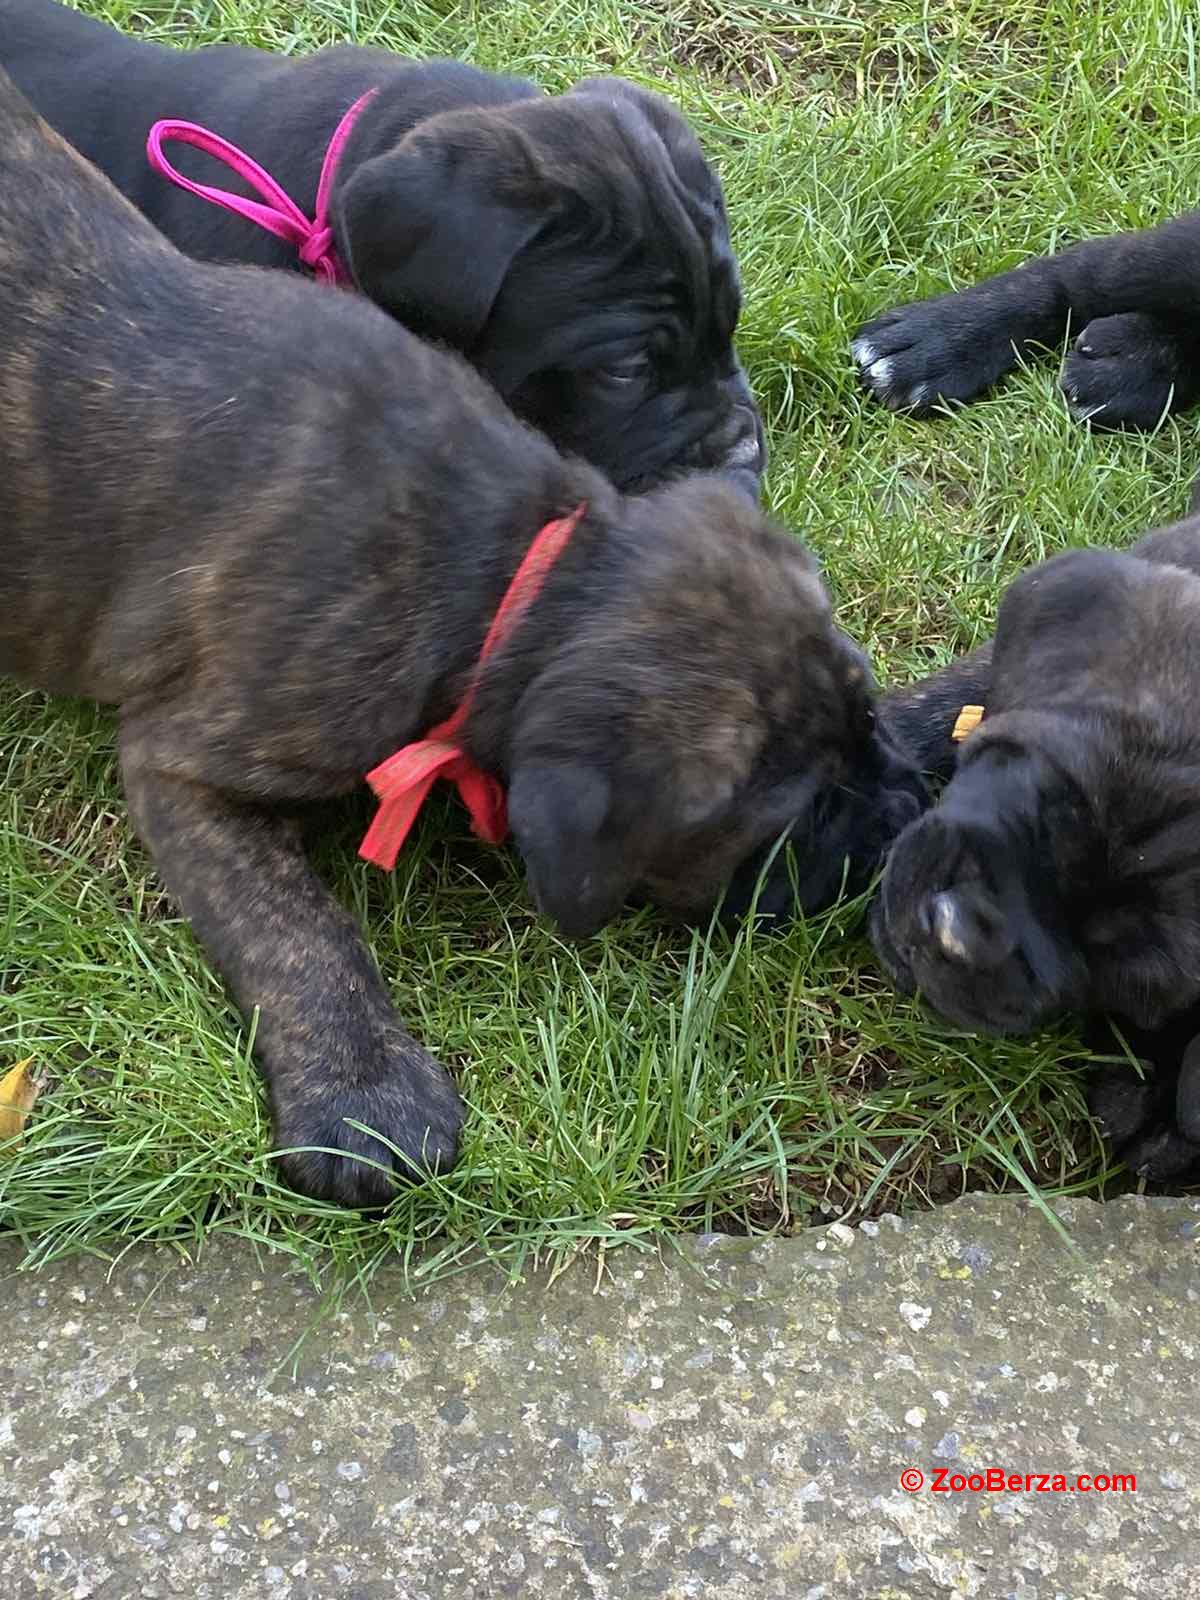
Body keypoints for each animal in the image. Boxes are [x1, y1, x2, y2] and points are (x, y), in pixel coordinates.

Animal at [0, 68, 896, 1203]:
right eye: (796, 815)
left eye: (868, 715)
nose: (906, 809)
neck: (511, 567)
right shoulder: (191, 761)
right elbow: (294, 927)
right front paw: (365, 1095)